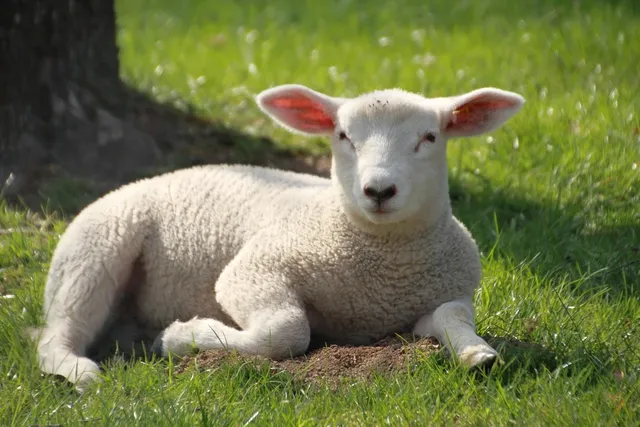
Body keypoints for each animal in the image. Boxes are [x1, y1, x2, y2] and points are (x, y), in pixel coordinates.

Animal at [31, 83, 524, 391]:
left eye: (429, 137)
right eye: (343, 135)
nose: (380, 191)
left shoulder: (449, 293)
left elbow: (451, 318)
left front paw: (479, 354)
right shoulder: (254, 270)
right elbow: (287, 332)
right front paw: (182, 337)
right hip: (93, 252)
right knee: (57, 334)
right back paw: (80, 371)